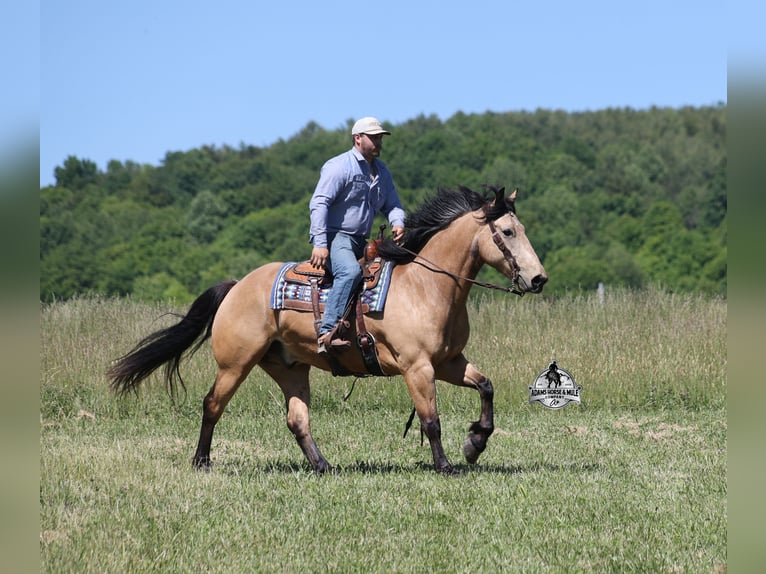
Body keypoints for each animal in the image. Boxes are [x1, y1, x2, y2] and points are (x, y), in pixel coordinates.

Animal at [108, 185, 547, 474]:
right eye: (508, 232)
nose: (538, 278)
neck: (427, 286)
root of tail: (237, 286)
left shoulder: (448, 363)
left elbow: (486, 387)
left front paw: (475, 443)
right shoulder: (418, 367)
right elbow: (431, 420)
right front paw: (446, 465)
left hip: (289, 367)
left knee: (297, 420)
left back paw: (323, 465)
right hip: (235, 363)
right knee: (212, 405)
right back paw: (201, 461)